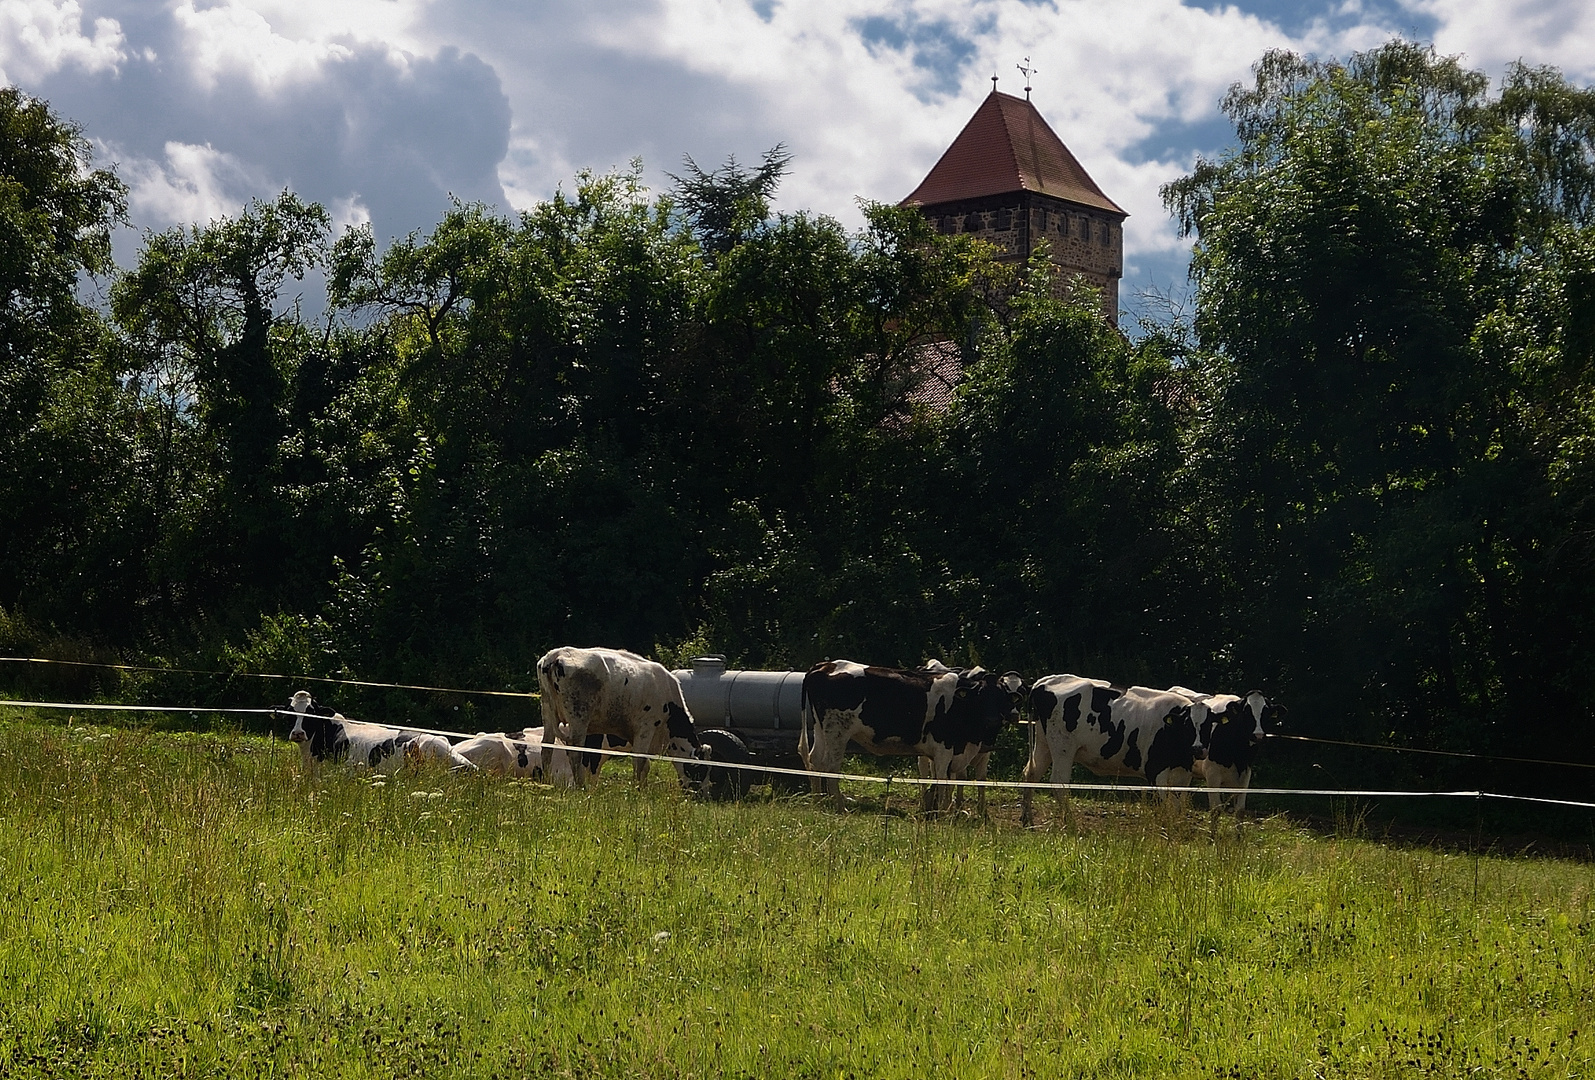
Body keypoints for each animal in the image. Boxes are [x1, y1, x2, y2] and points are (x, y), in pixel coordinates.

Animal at [532, 644, 701, 788]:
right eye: (700, 769)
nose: (701, 795)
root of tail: (556, 655)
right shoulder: (646, 727)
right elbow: (640, 761)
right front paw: (638, 789)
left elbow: (645, 765)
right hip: (579, 717)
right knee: (575, 752)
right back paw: (581, 786)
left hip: (547, 712)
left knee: (546, 749)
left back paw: (546, 782)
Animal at [794, 657, 1020, 810]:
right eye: (981, 696)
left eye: (1001, 697)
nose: (992, 720)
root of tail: (826, 665)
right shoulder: (943, 749)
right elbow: (943, 781)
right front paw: (944, 813)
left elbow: (942, 782)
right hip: (838, 732)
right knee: (830, 767)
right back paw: (840, 806)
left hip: (821, 729)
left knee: (815, 760)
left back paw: (819, 801)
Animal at [1027, 673, 1199, 823]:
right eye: (1189, 725)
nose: (1199, 749)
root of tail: (1045, 681)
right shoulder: (1156, 771)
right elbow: (1167, 805)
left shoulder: (1183, 775)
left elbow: (1178, 805)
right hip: (1063, 747)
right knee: (1059, 783)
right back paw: (1069, 822)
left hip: (1044, 744)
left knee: (1031, 773)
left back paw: (1027, 819)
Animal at [1173, 685, 1282, 813]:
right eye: (1246, 712)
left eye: (1266, 713)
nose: (1258, 735)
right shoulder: (1212, 774)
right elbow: (1216, 809)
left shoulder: (1246, 773)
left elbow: (1240, 810)